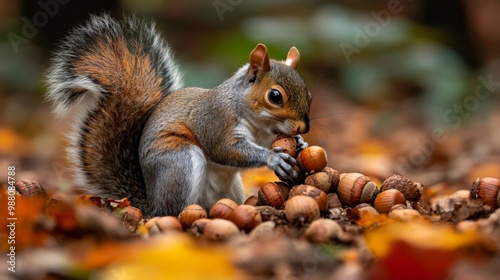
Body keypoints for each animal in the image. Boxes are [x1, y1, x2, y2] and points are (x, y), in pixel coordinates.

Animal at [47, 14, 312, 217]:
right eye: (275, 96)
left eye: (308, 94)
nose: (303, 127)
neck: (256, 119)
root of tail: (150, 205)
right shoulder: (216, 121)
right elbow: (225, 148)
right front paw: (273, 158)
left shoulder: (264, 134)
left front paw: (300, 143)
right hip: (180, 162)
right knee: (172, 211)